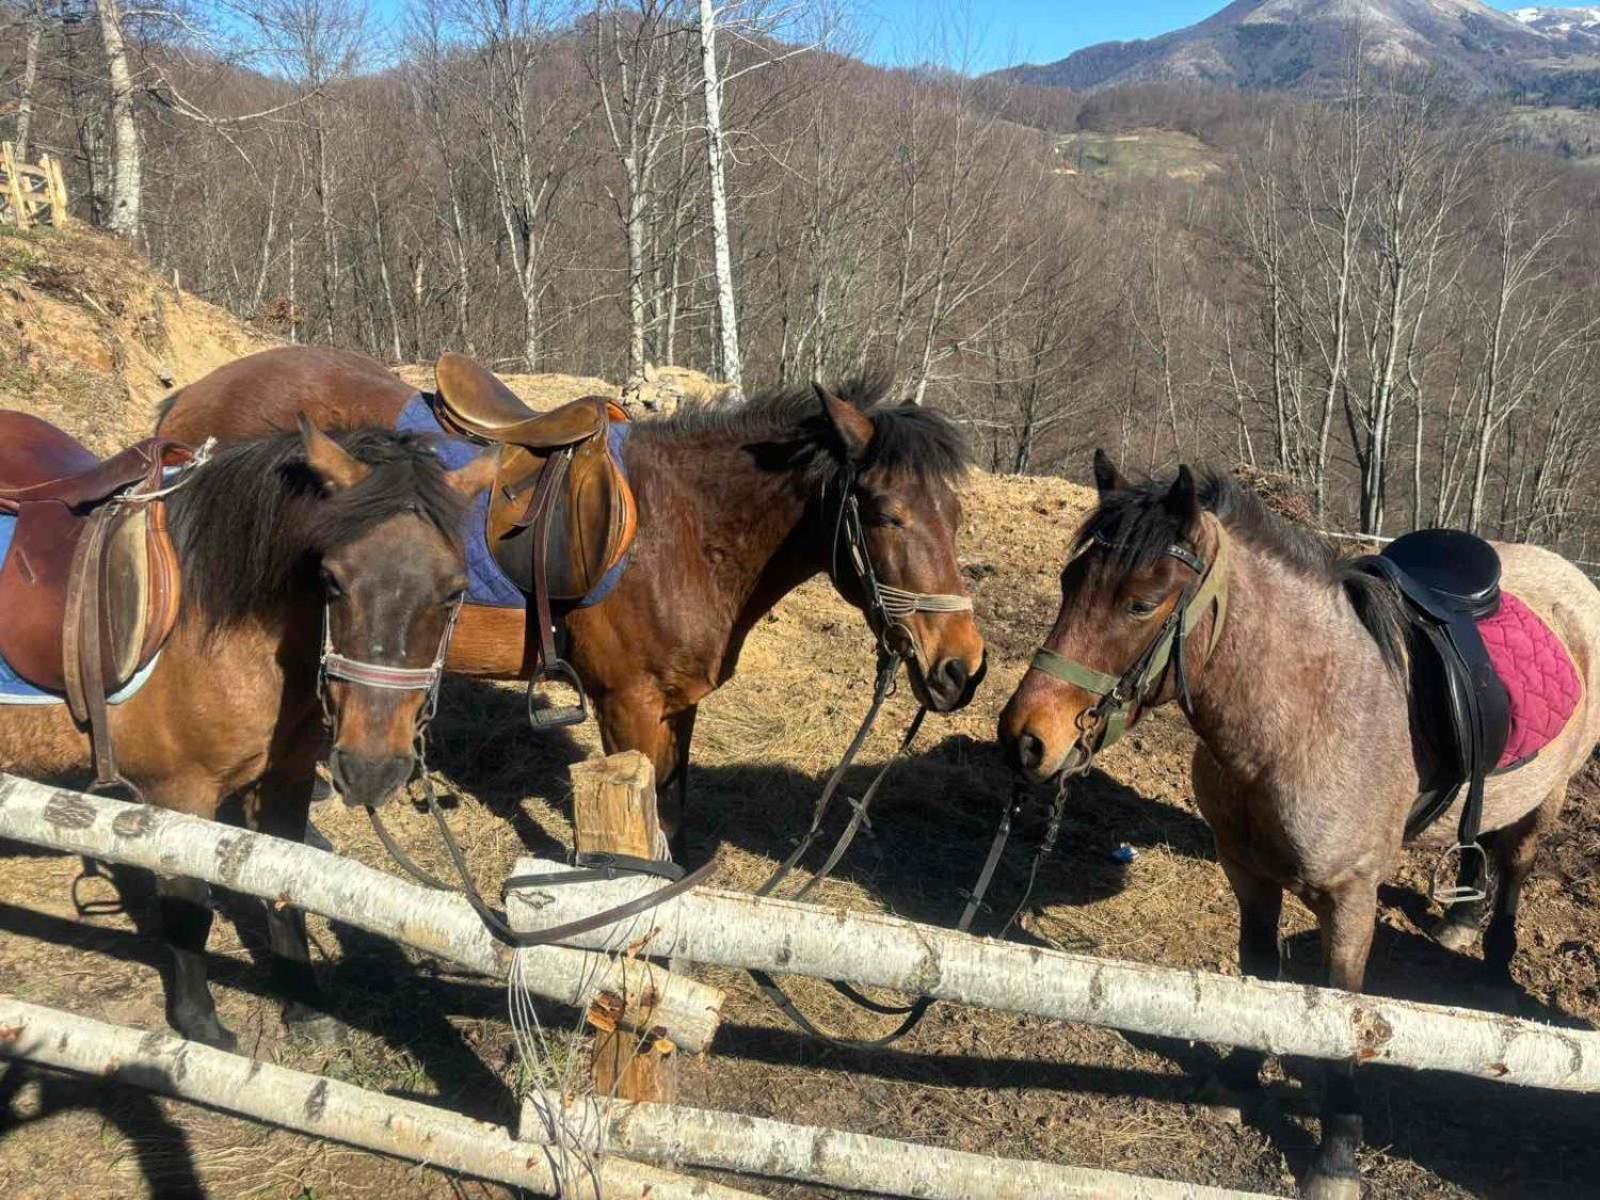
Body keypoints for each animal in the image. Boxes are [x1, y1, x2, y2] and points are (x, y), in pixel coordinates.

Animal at [0, 419, 492, 1049]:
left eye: (454, 591)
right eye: (331, 580)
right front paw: (200, 1027)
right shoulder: (178, 794)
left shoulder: (284, 781)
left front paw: (306, 1007)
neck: (212, 623)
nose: (371, 768)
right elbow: (189, 908)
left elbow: (287, 885)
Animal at [162, 345, 985, 838]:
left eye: (955, 516)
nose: (962, 668)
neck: (685, 528)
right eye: (885, 513)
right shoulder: (627, 707)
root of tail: (190, 399)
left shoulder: (674, 708)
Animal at [998, 454, 1600, 1200]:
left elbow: (1344, 1019)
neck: (1303, 717)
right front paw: (1237, 1081)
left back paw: (1494, 960)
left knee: (1517, 862)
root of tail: (1570, 574)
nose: (1025, 738)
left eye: (1141, 602)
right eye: (1068, 582)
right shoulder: (1246, 870)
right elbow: (1260, 976)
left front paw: (1336, 1155)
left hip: (1552, 794)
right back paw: (1462, 916)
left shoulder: (1349, 900)